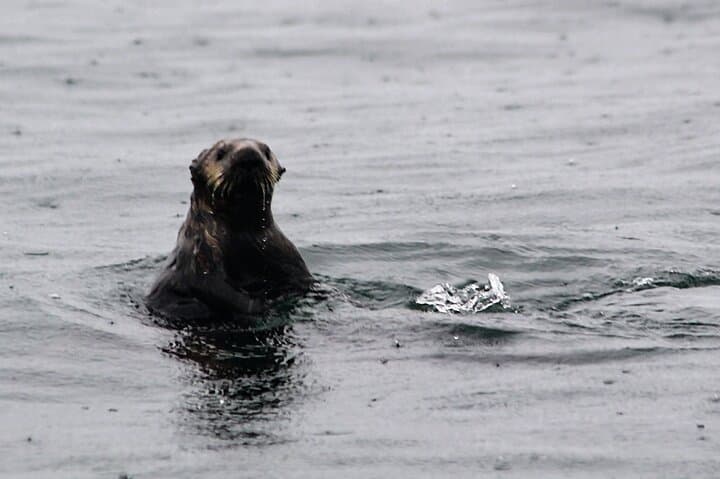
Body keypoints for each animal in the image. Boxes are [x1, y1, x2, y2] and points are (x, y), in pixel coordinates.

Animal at [146, 138, 313, 320]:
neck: (242, 238)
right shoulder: (202, 254)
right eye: (220, 153)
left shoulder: (284, 253)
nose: (249, 155)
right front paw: (262, 305)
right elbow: (216, 289)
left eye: (267, 152)